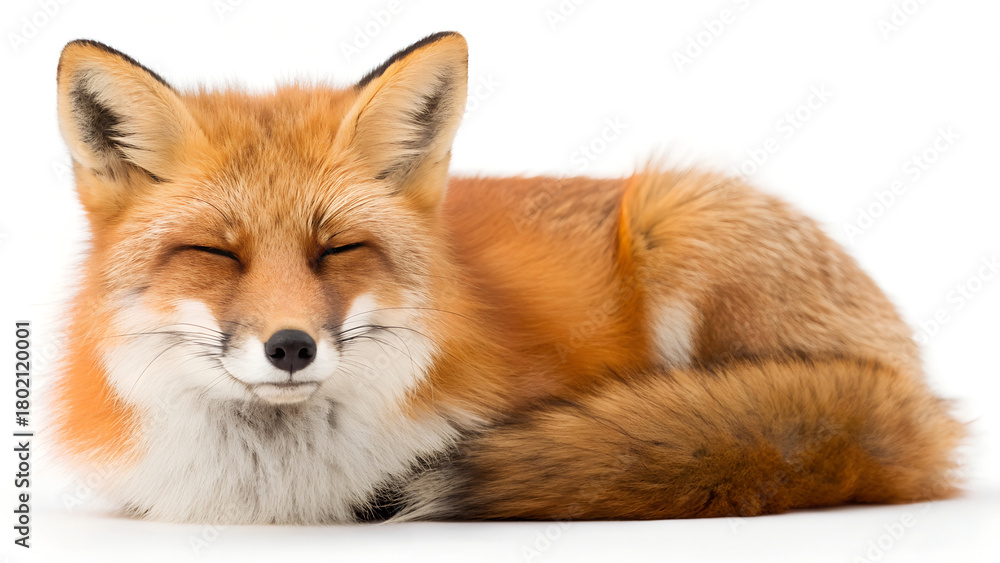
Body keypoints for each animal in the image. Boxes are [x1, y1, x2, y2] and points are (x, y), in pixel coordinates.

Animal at [52, 32, 964, 524]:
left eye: (338, 249)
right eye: (218, 254)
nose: (290, 347)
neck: (274, 487)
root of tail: (921, 396)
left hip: (680, 219)